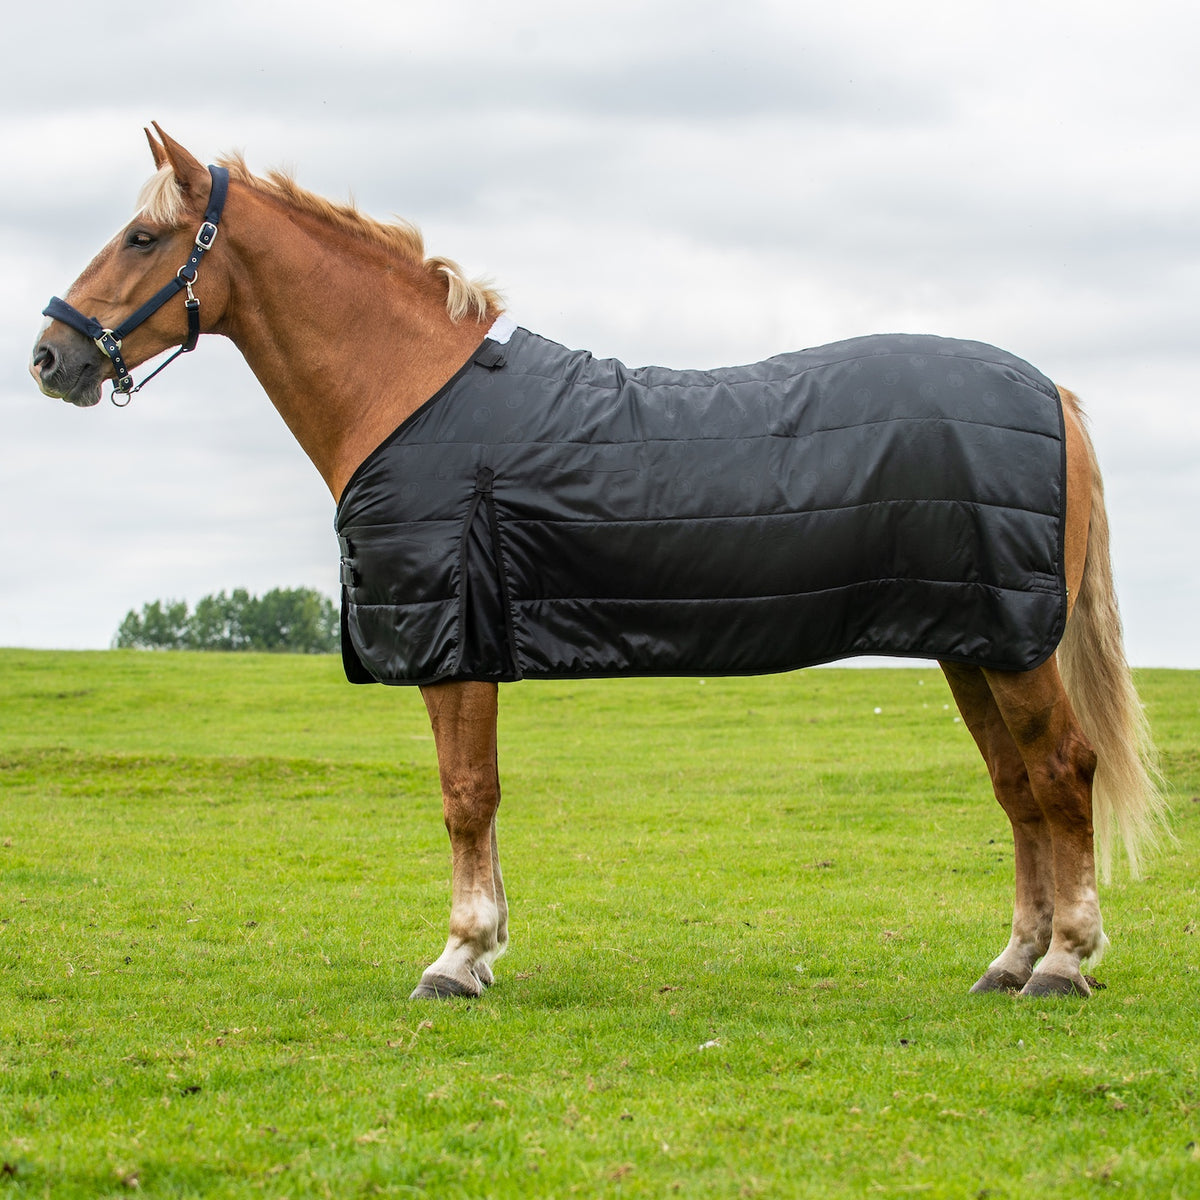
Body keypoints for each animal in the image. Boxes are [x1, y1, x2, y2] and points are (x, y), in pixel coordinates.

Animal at [30, 124, 1165, 1001]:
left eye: (142, 237)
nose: (51, 355)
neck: (410, 393)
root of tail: (1052, 392)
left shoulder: (453, 641)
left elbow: (465, 794)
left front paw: (458, 957)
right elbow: (476, 796)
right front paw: (482, 950)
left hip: (1012, 643)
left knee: (1060, 771)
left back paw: (1064, 963)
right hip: (973, 638)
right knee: (1017, 788)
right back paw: (1012, 960)